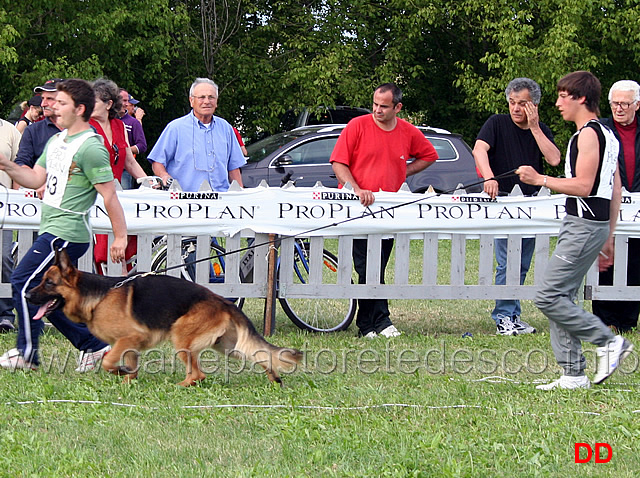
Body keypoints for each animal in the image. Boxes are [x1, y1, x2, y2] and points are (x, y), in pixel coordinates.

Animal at [26, 248, 304, 386]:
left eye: (48, 283)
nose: (26, 295)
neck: (97, 296)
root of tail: (223, 301)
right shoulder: (131, 345)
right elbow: (130, 367)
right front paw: (127, 379)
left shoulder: (128, 339)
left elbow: (108, 361)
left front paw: (118, 371)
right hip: (228, 346)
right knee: (260, 355)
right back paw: (274, 378)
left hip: (182, 339)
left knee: (198, 375)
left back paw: (181, 386)